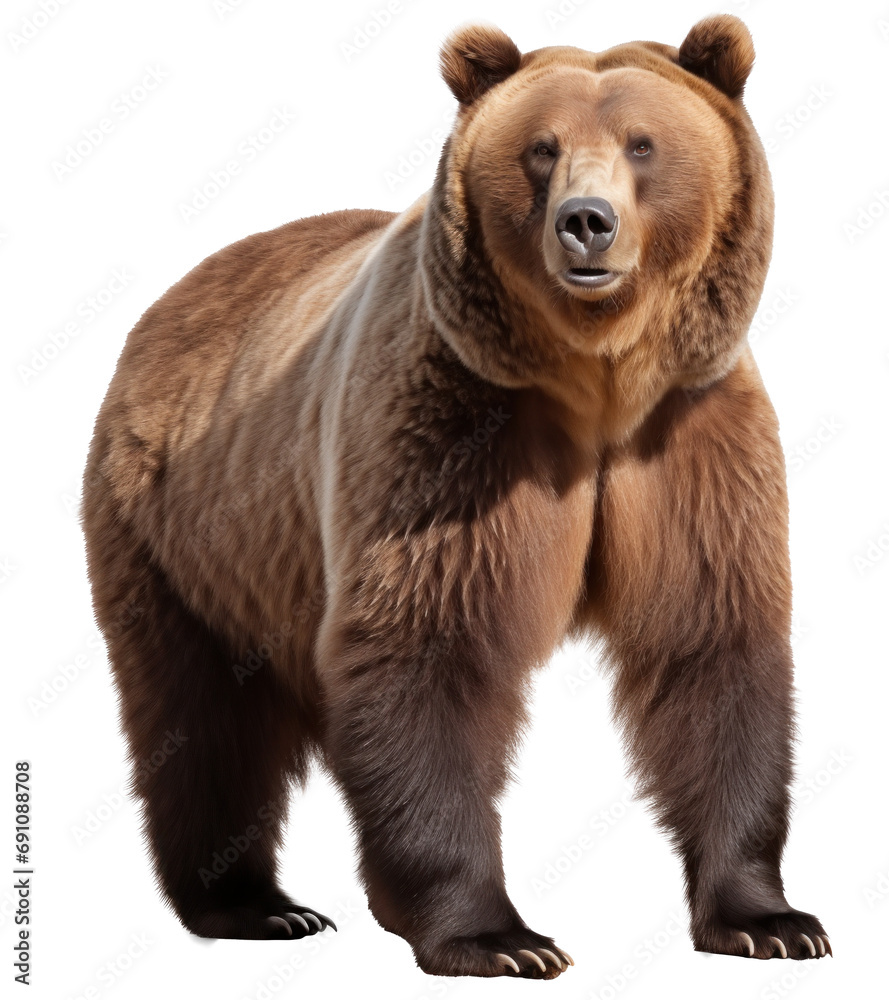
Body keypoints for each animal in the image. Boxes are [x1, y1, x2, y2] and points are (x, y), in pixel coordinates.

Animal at [82, 15, 830, 979]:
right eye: (541, 148)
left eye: (642, 144)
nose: (585, 223)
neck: (595, 382)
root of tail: (168, 302)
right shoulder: (449, 433)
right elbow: (429, 645)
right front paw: (500, 938)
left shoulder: (687, 439)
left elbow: (710, 642)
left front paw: (769, 920)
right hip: (179, 536)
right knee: (202, 719)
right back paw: (255, 904)